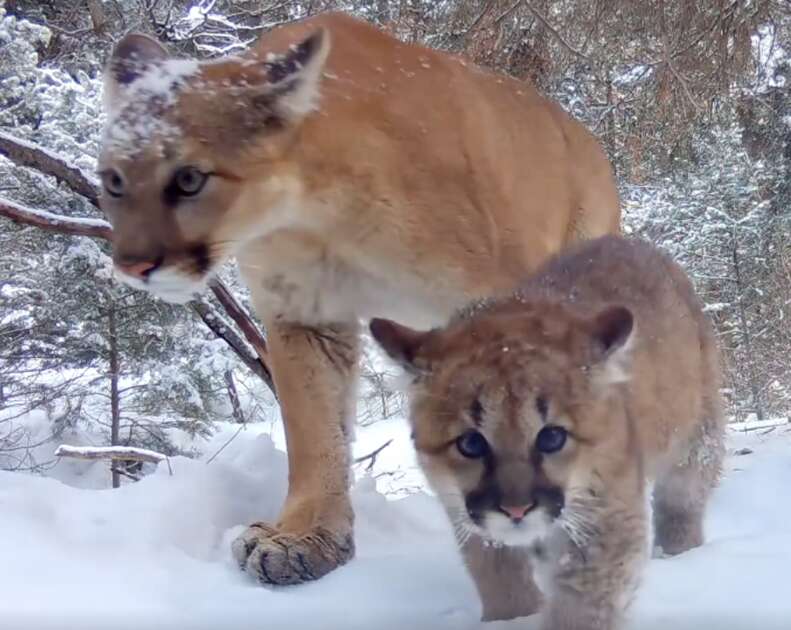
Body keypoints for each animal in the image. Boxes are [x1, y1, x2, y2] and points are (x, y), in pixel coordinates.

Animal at [97, 12, 620, 585]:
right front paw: (306, 535)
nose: (133, 264)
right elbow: (314, 429)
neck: (315, 212)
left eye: (189, 178)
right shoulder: (306, 316)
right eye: (114, 180)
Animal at [370, 235, 725, 628]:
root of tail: (627, 240)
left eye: (552, 437)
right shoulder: (465, 516)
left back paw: (679, 550)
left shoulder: (606, 516)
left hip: (695, 435)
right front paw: (511, 617)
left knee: (683, 497)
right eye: (470, 443)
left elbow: (582, 604)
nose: (516, 510)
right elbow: (497, 574)